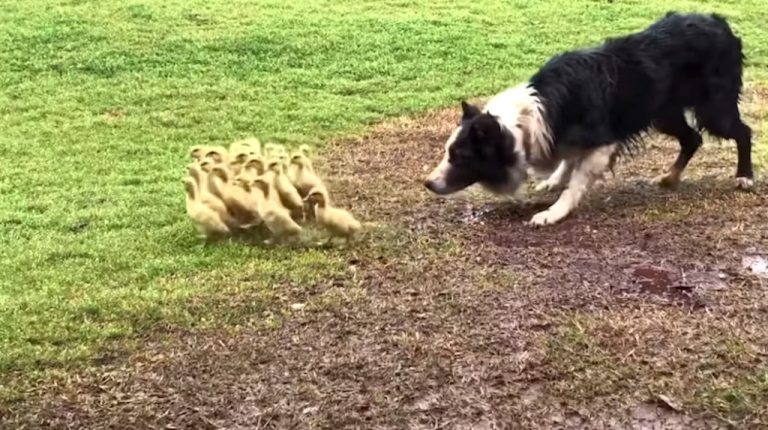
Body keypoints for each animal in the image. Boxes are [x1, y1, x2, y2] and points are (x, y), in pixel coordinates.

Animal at [426, 10, 756, 225]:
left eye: (460, 156)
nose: (427, 183)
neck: (527, 121)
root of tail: (719, 21)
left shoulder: (602, 143)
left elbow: (575, 183)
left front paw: (553, 212)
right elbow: (567, 161)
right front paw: (553, 181)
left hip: (713, 109)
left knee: (743, 132)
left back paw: (745, 177)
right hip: (664, 113)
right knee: (692, 138)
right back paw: (670, 177)